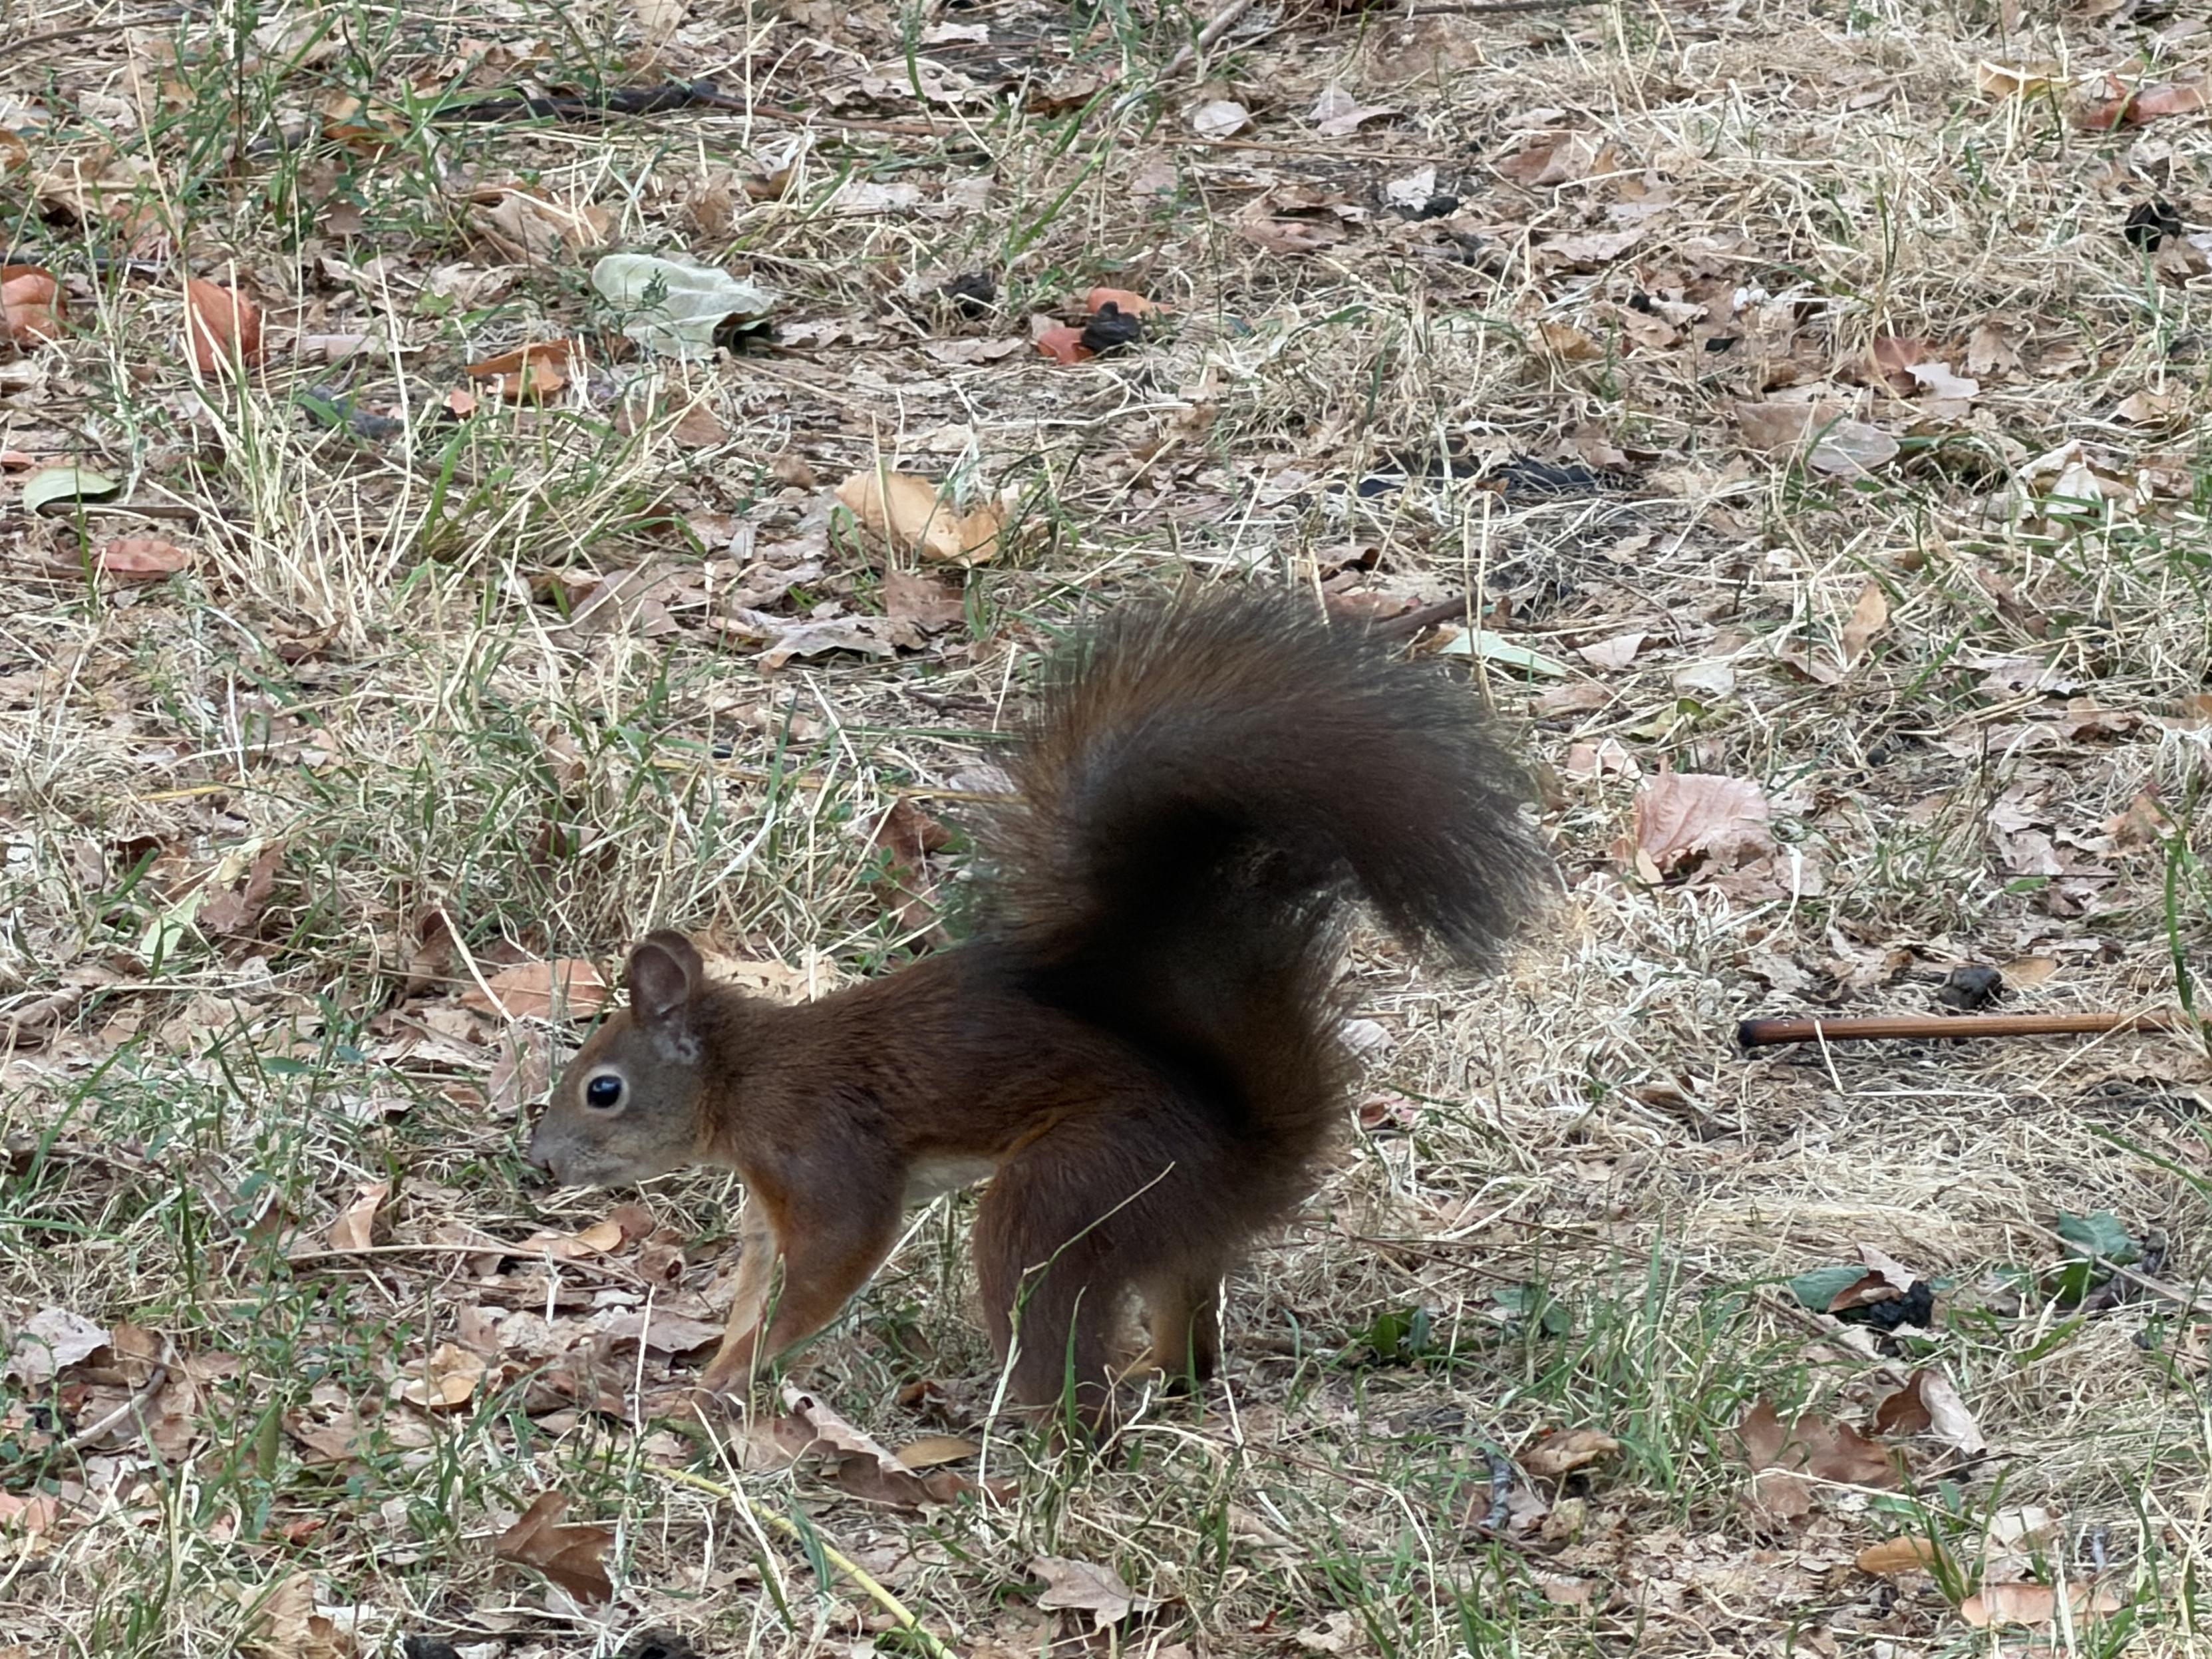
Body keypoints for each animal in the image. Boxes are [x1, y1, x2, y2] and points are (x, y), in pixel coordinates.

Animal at [526, 591, 1549, 1423]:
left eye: (603, 1089)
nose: (537, 1164)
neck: (741, 1076)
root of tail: (1249, 1151)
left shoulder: (820, 1151)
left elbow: (831, 1265)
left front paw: (742, 1378)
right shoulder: (762, 1211)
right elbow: (751, 1290)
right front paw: (711, 1377)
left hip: (1071, 1193)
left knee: (1054, 1325)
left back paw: (1041, 1427)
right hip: (1165, 1237)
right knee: (1190, 1345)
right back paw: (1152, 1379)